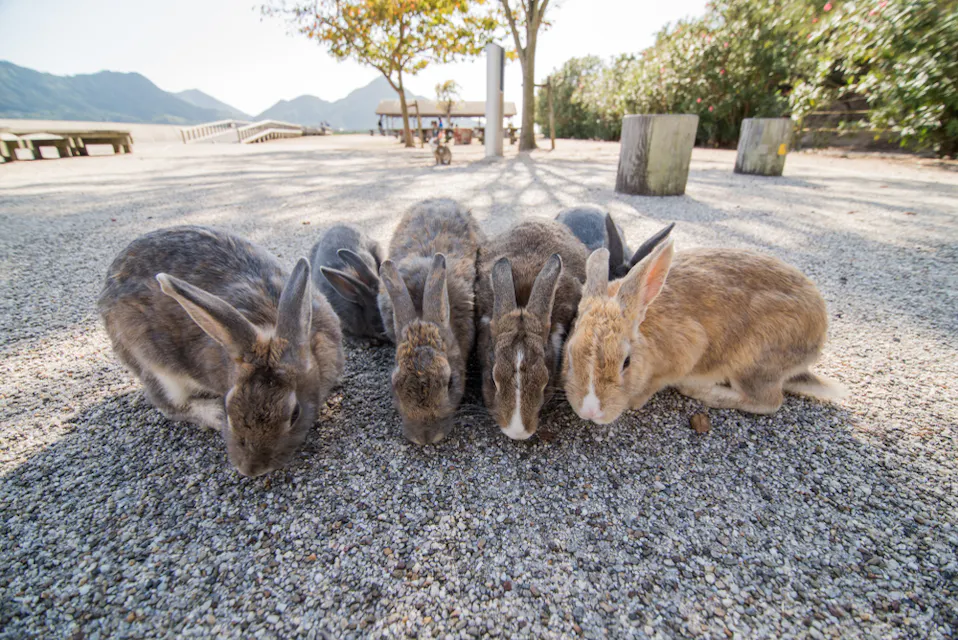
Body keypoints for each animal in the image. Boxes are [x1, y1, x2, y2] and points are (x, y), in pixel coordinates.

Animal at [98, 225, 344, 477]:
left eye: (295, 413)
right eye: (228, 407)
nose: (250, 469)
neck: (268, 325)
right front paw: (219, 415)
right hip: (156, 367)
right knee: (169, 403)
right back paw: (211, 413)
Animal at [563, 240, 844, 425]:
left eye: (626, 362)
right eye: (570, 355)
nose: (590, 411)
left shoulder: (686, 354)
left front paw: (635, 401)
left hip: (753, 363)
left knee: (769, 401)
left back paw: (700, 391)